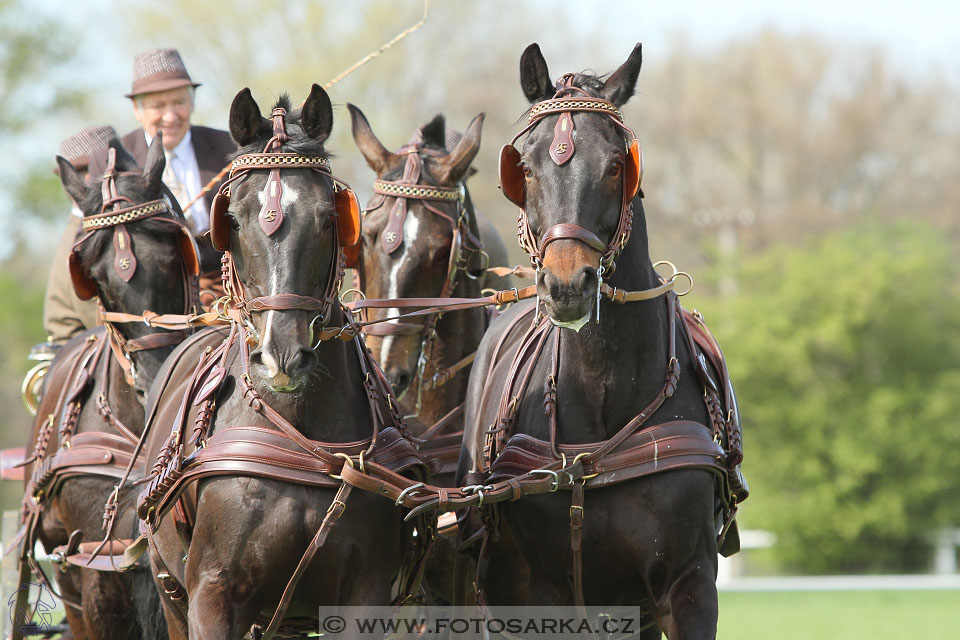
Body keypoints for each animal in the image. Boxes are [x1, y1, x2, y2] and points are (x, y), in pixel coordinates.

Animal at [136, 86, 432, 640]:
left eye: (328, 217)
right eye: (231, 220)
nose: (282, 358)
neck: (299, 441)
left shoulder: (364, 593)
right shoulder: (211, 595)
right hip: (171, 594)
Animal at [454, 42, 748, 636]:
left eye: (617, 165)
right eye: (524, 167)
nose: (567, 285)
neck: (604, 394)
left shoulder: (689, 586)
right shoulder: (547, 590)